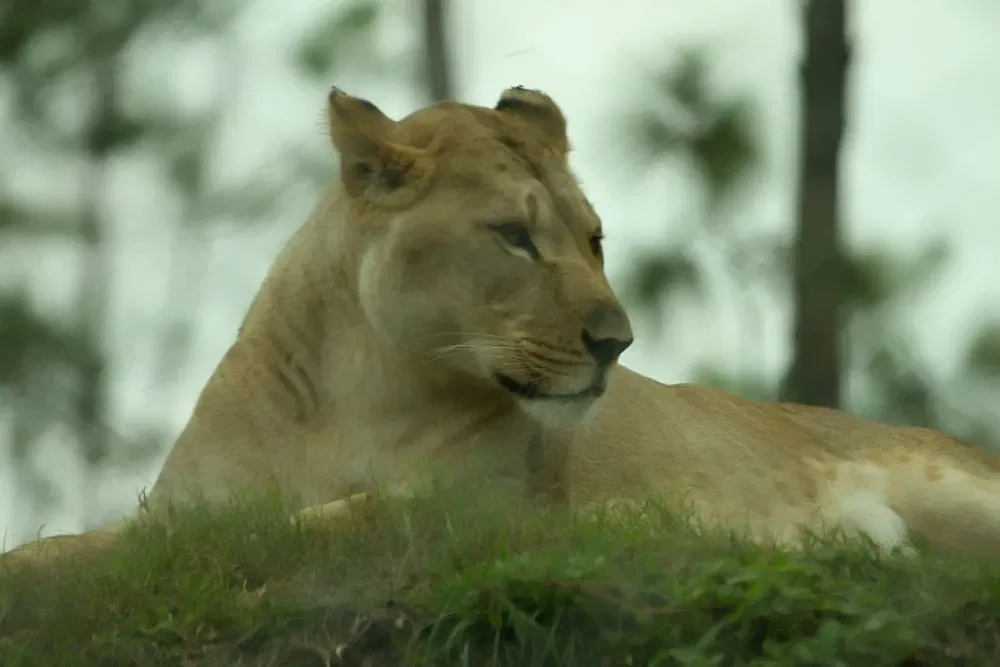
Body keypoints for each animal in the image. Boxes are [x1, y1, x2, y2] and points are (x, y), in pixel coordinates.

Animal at [6, 85, 1000, 567]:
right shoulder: (190, 497)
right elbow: (95, 541)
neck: (354, 393)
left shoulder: (483, 509)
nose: (617, 343)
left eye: (595, 239)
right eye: (516, 237)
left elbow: (319, 521)